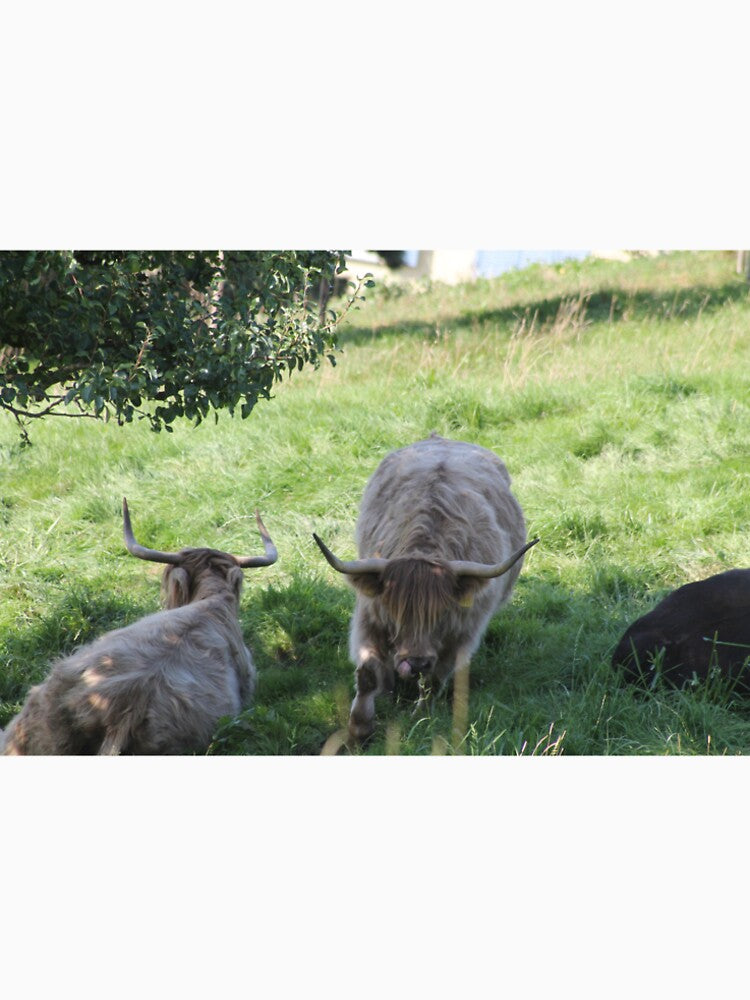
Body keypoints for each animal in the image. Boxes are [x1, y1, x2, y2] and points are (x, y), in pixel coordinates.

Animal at [313, 434, 537, 744]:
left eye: (442, 613)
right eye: (394, 611)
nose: (416, 662)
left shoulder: (461, 634)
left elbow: (435, 678)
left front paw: (421, 717)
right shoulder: (369, 617)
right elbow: (368, 673)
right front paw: (360, 727)